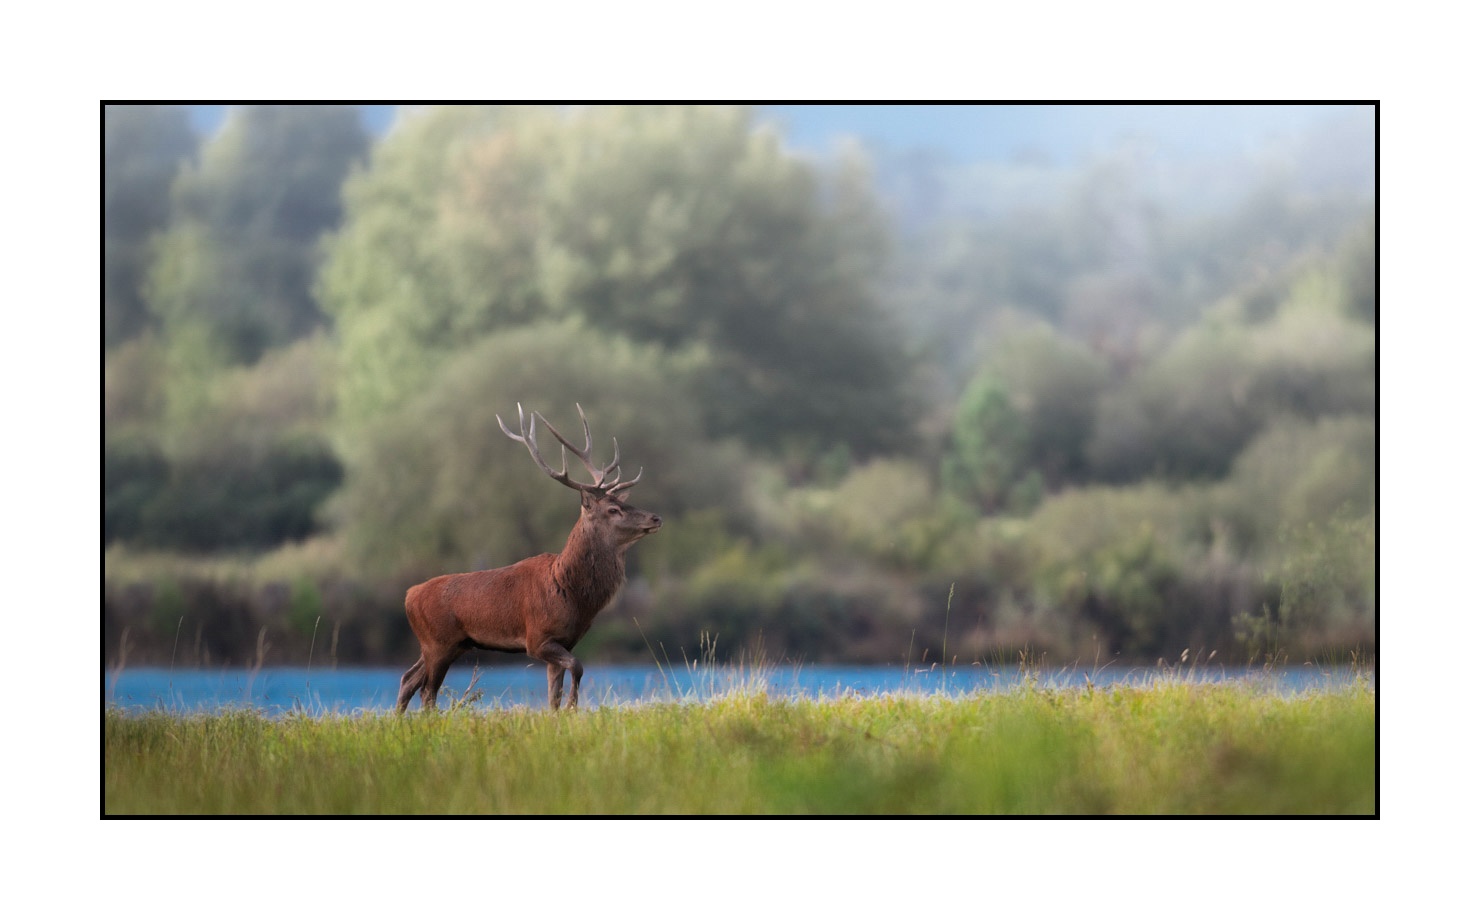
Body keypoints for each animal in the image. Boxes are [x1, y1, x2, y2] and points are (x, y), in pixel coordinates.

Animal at [396, 404, 662, 713]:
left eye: (623, 502)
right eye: (613, 509)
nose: (655, 518)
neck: (573, 594)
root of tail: (409, 596)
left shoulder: (565, 641)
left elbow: (553, 695)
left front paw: (562, 713)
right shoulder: (537, 639)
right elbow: (578, 667)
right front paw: (573, 706)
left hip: (447, 644)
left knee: (408, 679)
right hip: (439, 642)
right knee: (427, 691)